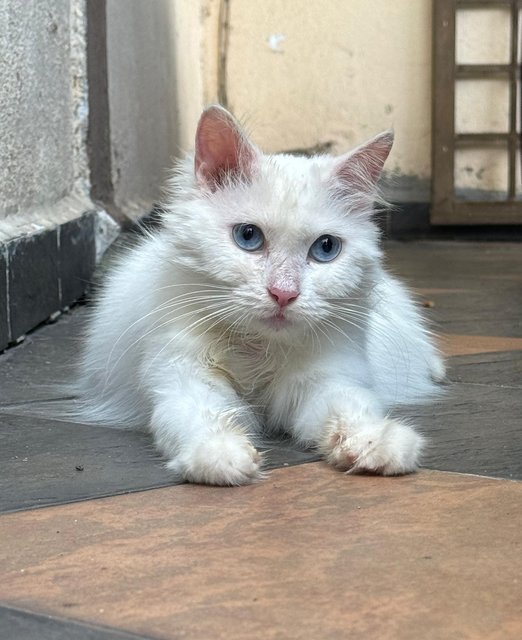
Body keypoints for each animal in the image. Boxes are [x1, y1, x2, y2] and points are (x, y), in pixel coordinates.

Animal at [77, 105, 442, 484]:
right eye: (248, 236)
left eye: (326, 248)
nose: (283, 294)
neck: (259, 349)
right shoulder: (183, 377)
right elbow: (205, 417)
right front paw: (221, 455)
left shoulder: (326, 381)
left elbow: (349, 410)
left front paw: (377, 443)